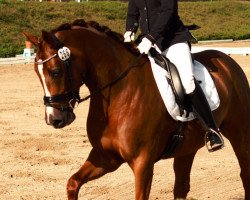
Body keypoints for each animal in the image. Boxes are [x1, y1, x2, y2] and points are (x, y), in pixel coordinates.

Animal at [22, 19, 249, 200]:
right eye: (36, 72)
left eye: (55, 71)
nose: (54, 119)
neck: (120, 92)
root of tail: (226, 60)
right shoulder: (105, 157)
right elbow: (72, 183)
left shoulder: (143, 163)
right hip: (187, 147)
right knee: (181, 187)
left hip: (238, 132)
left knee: (244, 173)